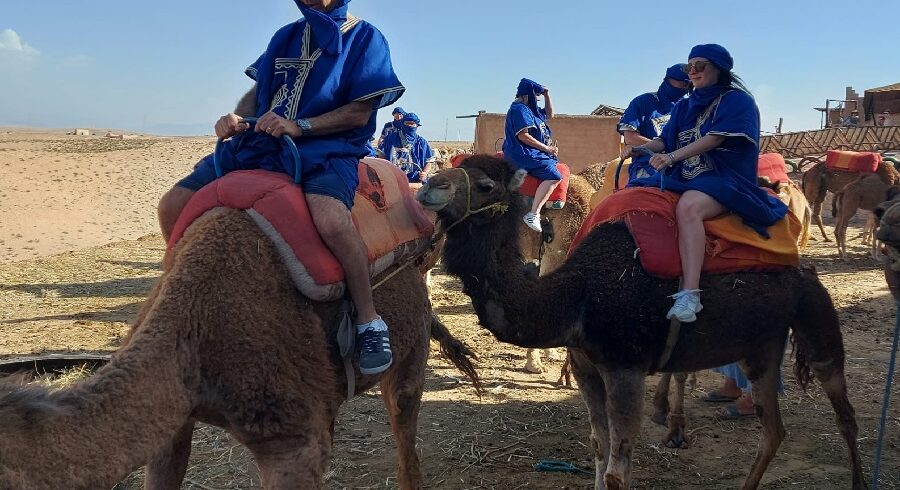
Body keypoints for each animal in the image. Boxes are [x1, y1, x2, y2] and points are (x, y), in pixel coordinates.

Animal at [418, 156, 868, 490]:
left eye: (485, 185)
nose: (428, 186)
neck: (577, 297)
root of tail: (803, 266)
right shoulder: (588, 368)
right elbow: (599, 450)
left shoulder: (625, 368)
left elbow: (618, 471)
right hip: (761, 347)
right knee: (773, 429)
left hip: (816, 319)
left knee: (844, 411)